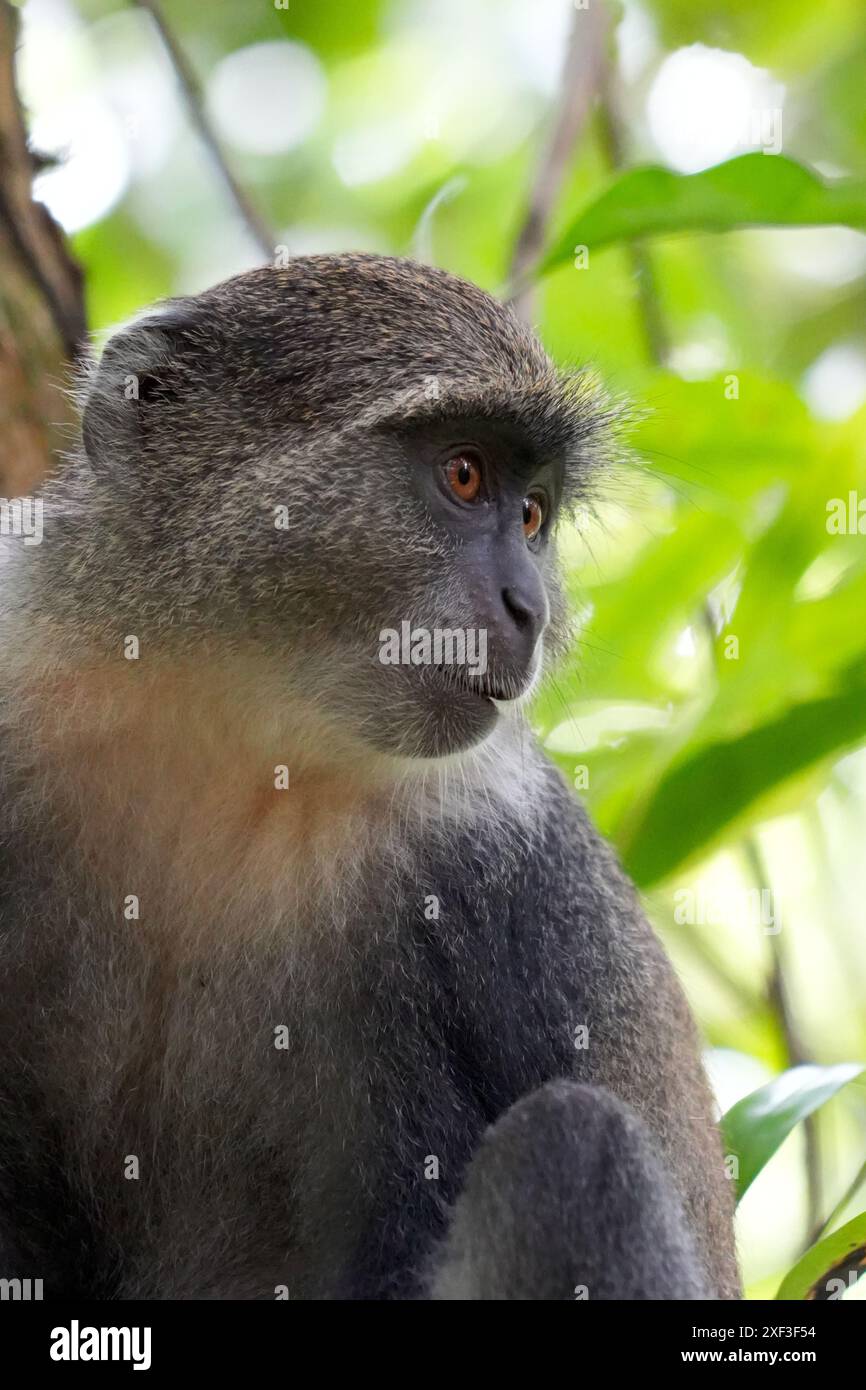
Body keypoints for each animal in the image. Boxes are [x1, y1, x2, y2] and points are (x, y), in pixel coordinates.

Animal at [0, 253, 739, 1300]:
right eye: (464, 474)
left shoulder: (475, 860)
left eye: (533, 516)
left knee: (570, 1144)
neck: (230, 736)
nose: (529, 605)